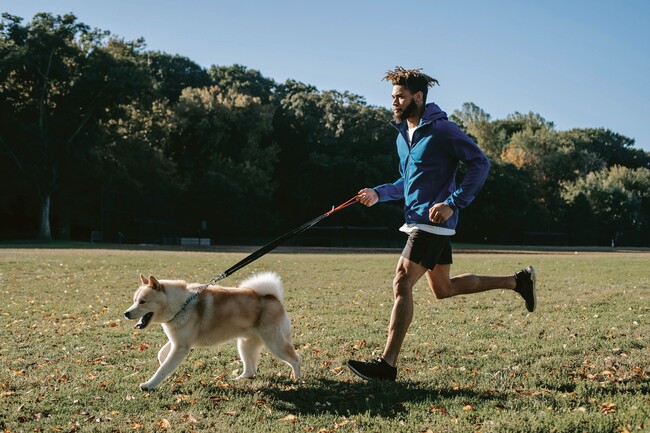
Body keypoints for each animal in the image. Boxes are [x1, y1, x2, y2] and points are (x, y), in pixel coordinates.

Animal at [123, 272, 300, 390]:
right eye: (134, 300)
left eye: (142, 302)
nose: (126, 313)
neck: (181, 304)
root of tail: (273, 297)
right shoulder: (177, 342)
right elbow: (162, 356)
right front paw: (165, 367)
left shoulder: (181, 347)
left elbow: (162, 369)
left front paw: (149, 385)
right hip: (245, 345)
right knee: (251, 370)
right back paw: (237, 380)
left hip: (274, 343)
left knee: (296, 359)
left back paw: (298, 380)